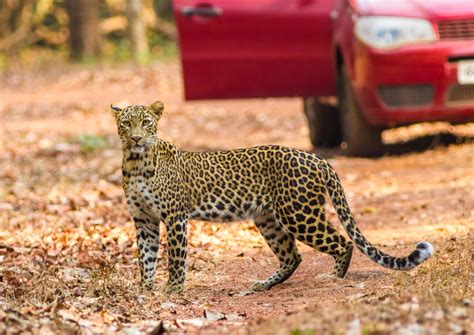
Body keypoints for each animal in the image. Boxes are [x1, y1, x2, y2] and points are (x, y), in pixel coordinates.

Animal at [110, 101, 434, 292]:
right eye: (126, 123)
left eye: (146, 122)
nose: (136, 137)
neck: (135, 161)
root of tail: (319, 159)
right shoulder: (143, 220)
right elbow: (146, 257)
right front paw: (145, 290)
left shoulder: (175, 217)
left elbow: (176, 257)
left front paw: (173, 290)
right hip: (268, 219)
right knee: (293, 256)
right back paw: (264, 284)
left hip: (299, 215)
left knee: (342, 242)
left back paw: (333, 278)